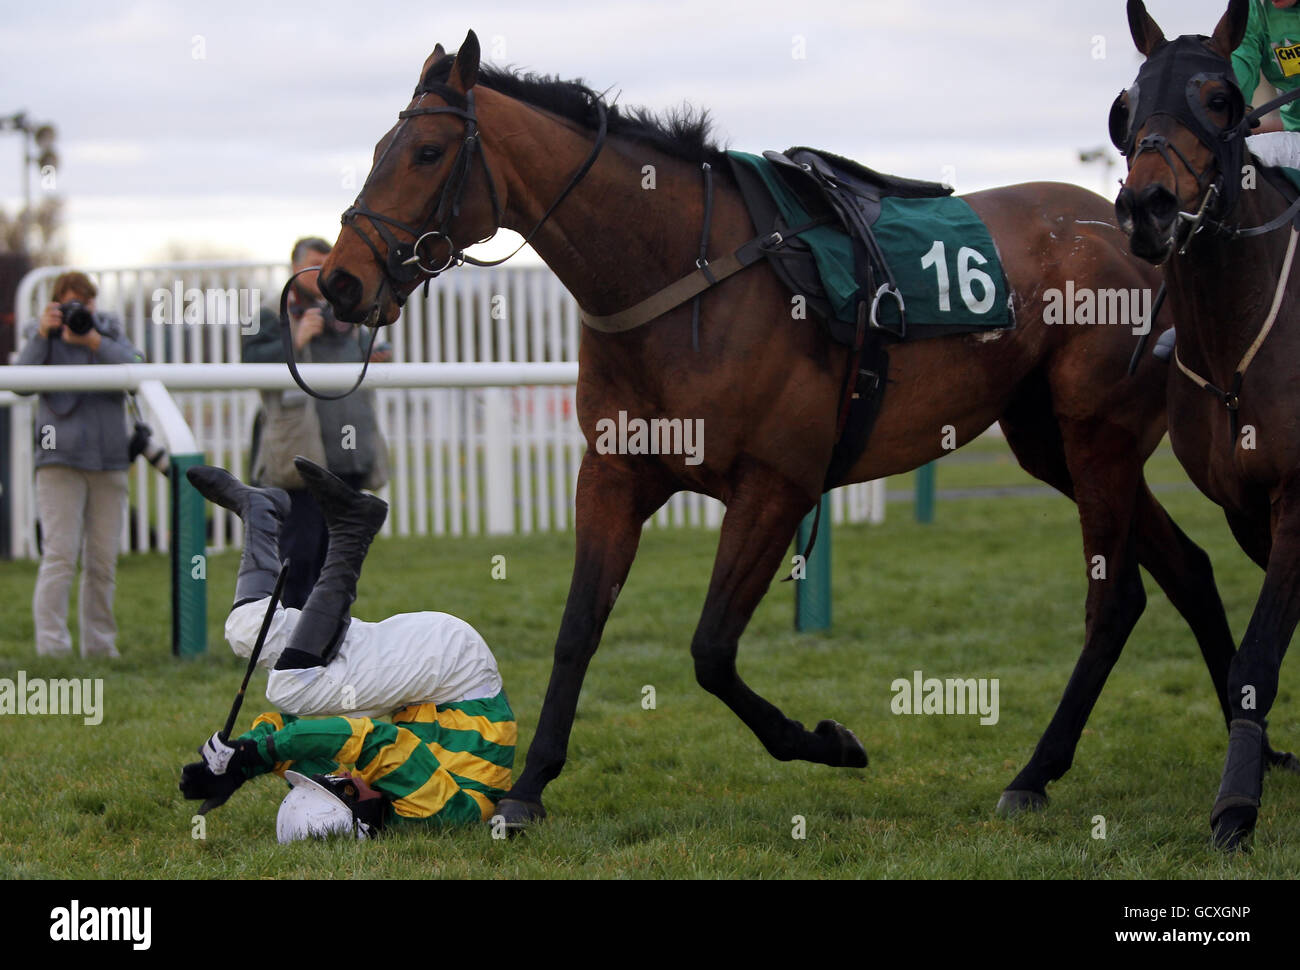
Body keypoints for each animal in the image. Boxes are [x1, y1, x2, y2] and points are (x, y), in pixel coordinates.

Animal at [314, 32, 1279, 832]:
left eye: (427, 152)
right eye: (379, 149)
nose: (341, 283)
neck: (683, 274)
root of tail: (1144, 232)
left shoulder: (774, 486)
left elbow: (710, 650)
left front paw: (829, 742)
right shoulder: (615, 474)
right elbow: (578, 626)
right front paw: (526, 790)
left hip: (1096, 436)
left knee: (1115, 599)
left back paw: (1035, 773)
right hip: (1051, 443)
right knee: (1189, 570)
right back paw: (1259, 747)